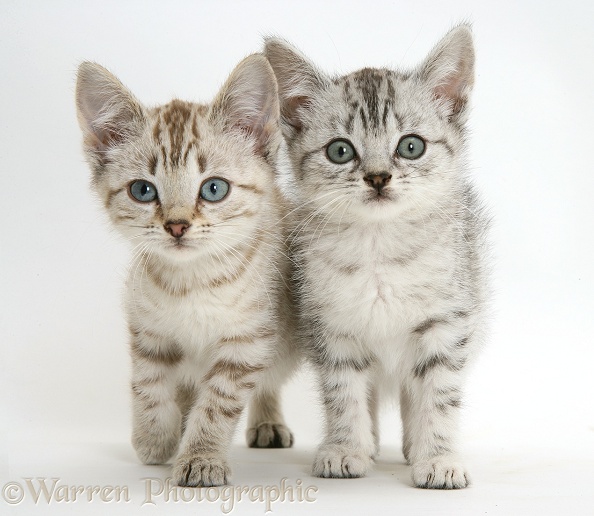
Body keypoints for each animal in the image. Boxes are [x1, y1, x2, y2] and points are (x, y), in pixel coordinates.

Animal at [74, 56, 298, 488]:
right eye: (142, 191)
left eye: (214, 189)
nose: (176, 226)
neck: (192, 281)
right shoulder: (148, 330)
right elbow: (149, 385)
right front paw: (154, 438)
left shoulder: (248, 340)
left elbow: (217, 403)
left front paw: (201, 456)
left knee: (268, 381)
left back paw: (266, 422)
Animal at [264, 25, 486, 492]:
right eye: (340, 151)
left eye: (411, 146)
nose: (379, 177)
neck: (379, 247)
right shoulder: (332, 326)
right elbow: (344, 392)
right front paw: (346, 448)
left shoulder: (447, 323)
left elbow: (438, 395)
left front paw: (438, 457)